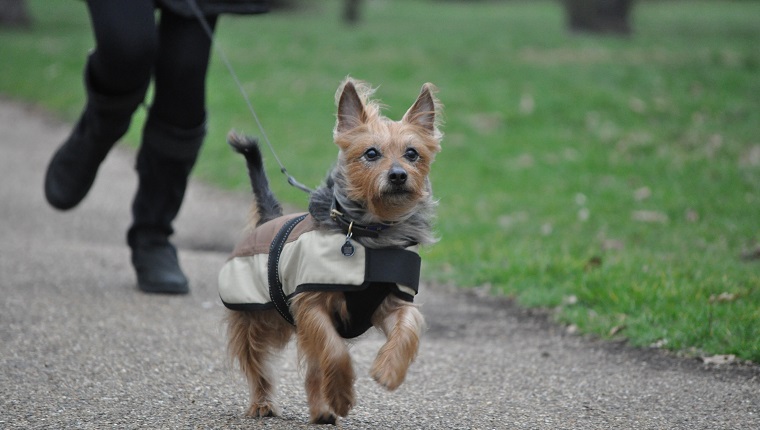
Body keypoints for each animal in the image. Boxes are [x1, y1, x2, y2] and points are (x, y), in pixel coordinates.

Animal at [220, 76, 442, 424]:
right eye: (371, 153)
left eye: (412, 153)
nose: (398, 175)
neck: (372, 233)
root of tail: (267, 218)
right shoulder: (311, 305)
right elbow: (334, 351)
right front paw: (342, 396)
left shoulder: (390, 303)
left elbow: (408, 327)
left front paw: (389, 370)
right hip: (255, 319)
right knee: (256, 361)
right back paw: (263, 403)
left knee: (313, 367)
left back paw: (321, 410)